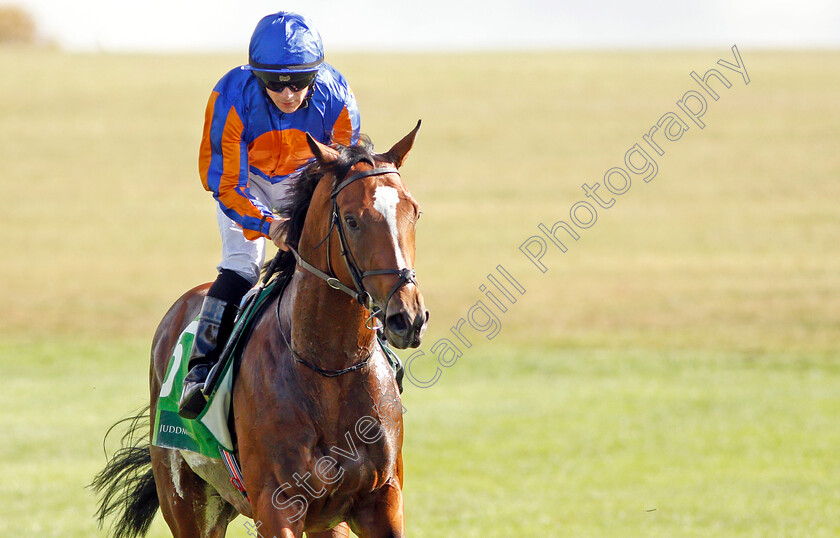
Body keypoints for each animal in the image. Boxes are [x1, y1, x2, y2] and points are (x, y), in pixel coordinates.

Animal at [93, 122, 426, 536]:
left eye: (414, 212)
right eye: (352, 220)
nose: (407, 317)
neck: (329, 369)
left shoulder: (381, 500)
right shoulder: (276, 504)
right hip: (186, 503)